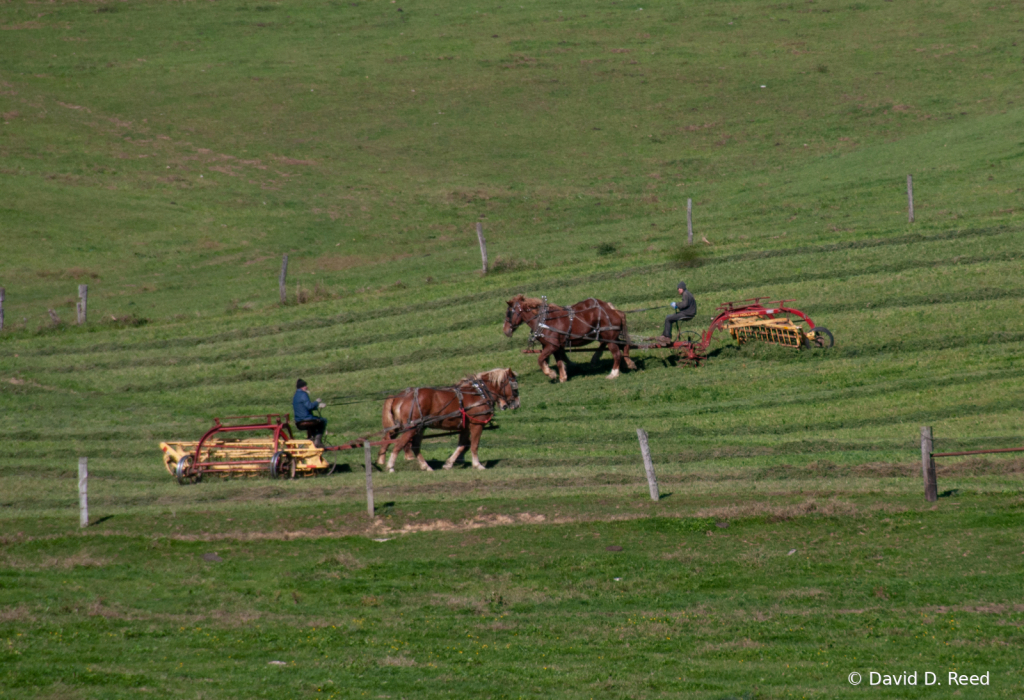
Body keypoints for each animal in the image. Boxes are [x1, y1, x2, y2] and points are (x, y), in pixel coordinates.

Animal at [374, 368, 520, 472]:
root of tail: (401, 396)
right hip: (412, 427)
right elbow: (474, 445)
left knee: (413, 446)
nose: (516, 404)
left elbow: (463, 445)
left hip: (419, 427)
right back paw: (390, 466)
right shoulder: (476, 424)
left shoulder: (464, 427)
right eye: (515, 386)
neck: (479, 393)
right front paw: (477, 465)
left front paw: (448, 464)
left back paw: (426, 467)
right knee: (399, 444)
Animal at [501, 294, 634, 382]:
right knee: (624, 345)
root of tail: (613, 310)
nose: (505, 330)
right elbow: (559, 361)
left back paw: (613, 373)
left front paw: (551, 373)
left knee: (617, 354)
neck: (543, 321)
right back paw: (629, 363)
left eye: (509, 313)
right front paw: (562, 377)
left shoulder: (551, 346)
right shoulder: (556, 346)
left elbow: (540, 359)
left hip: (609, 338)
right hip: (609, 337)